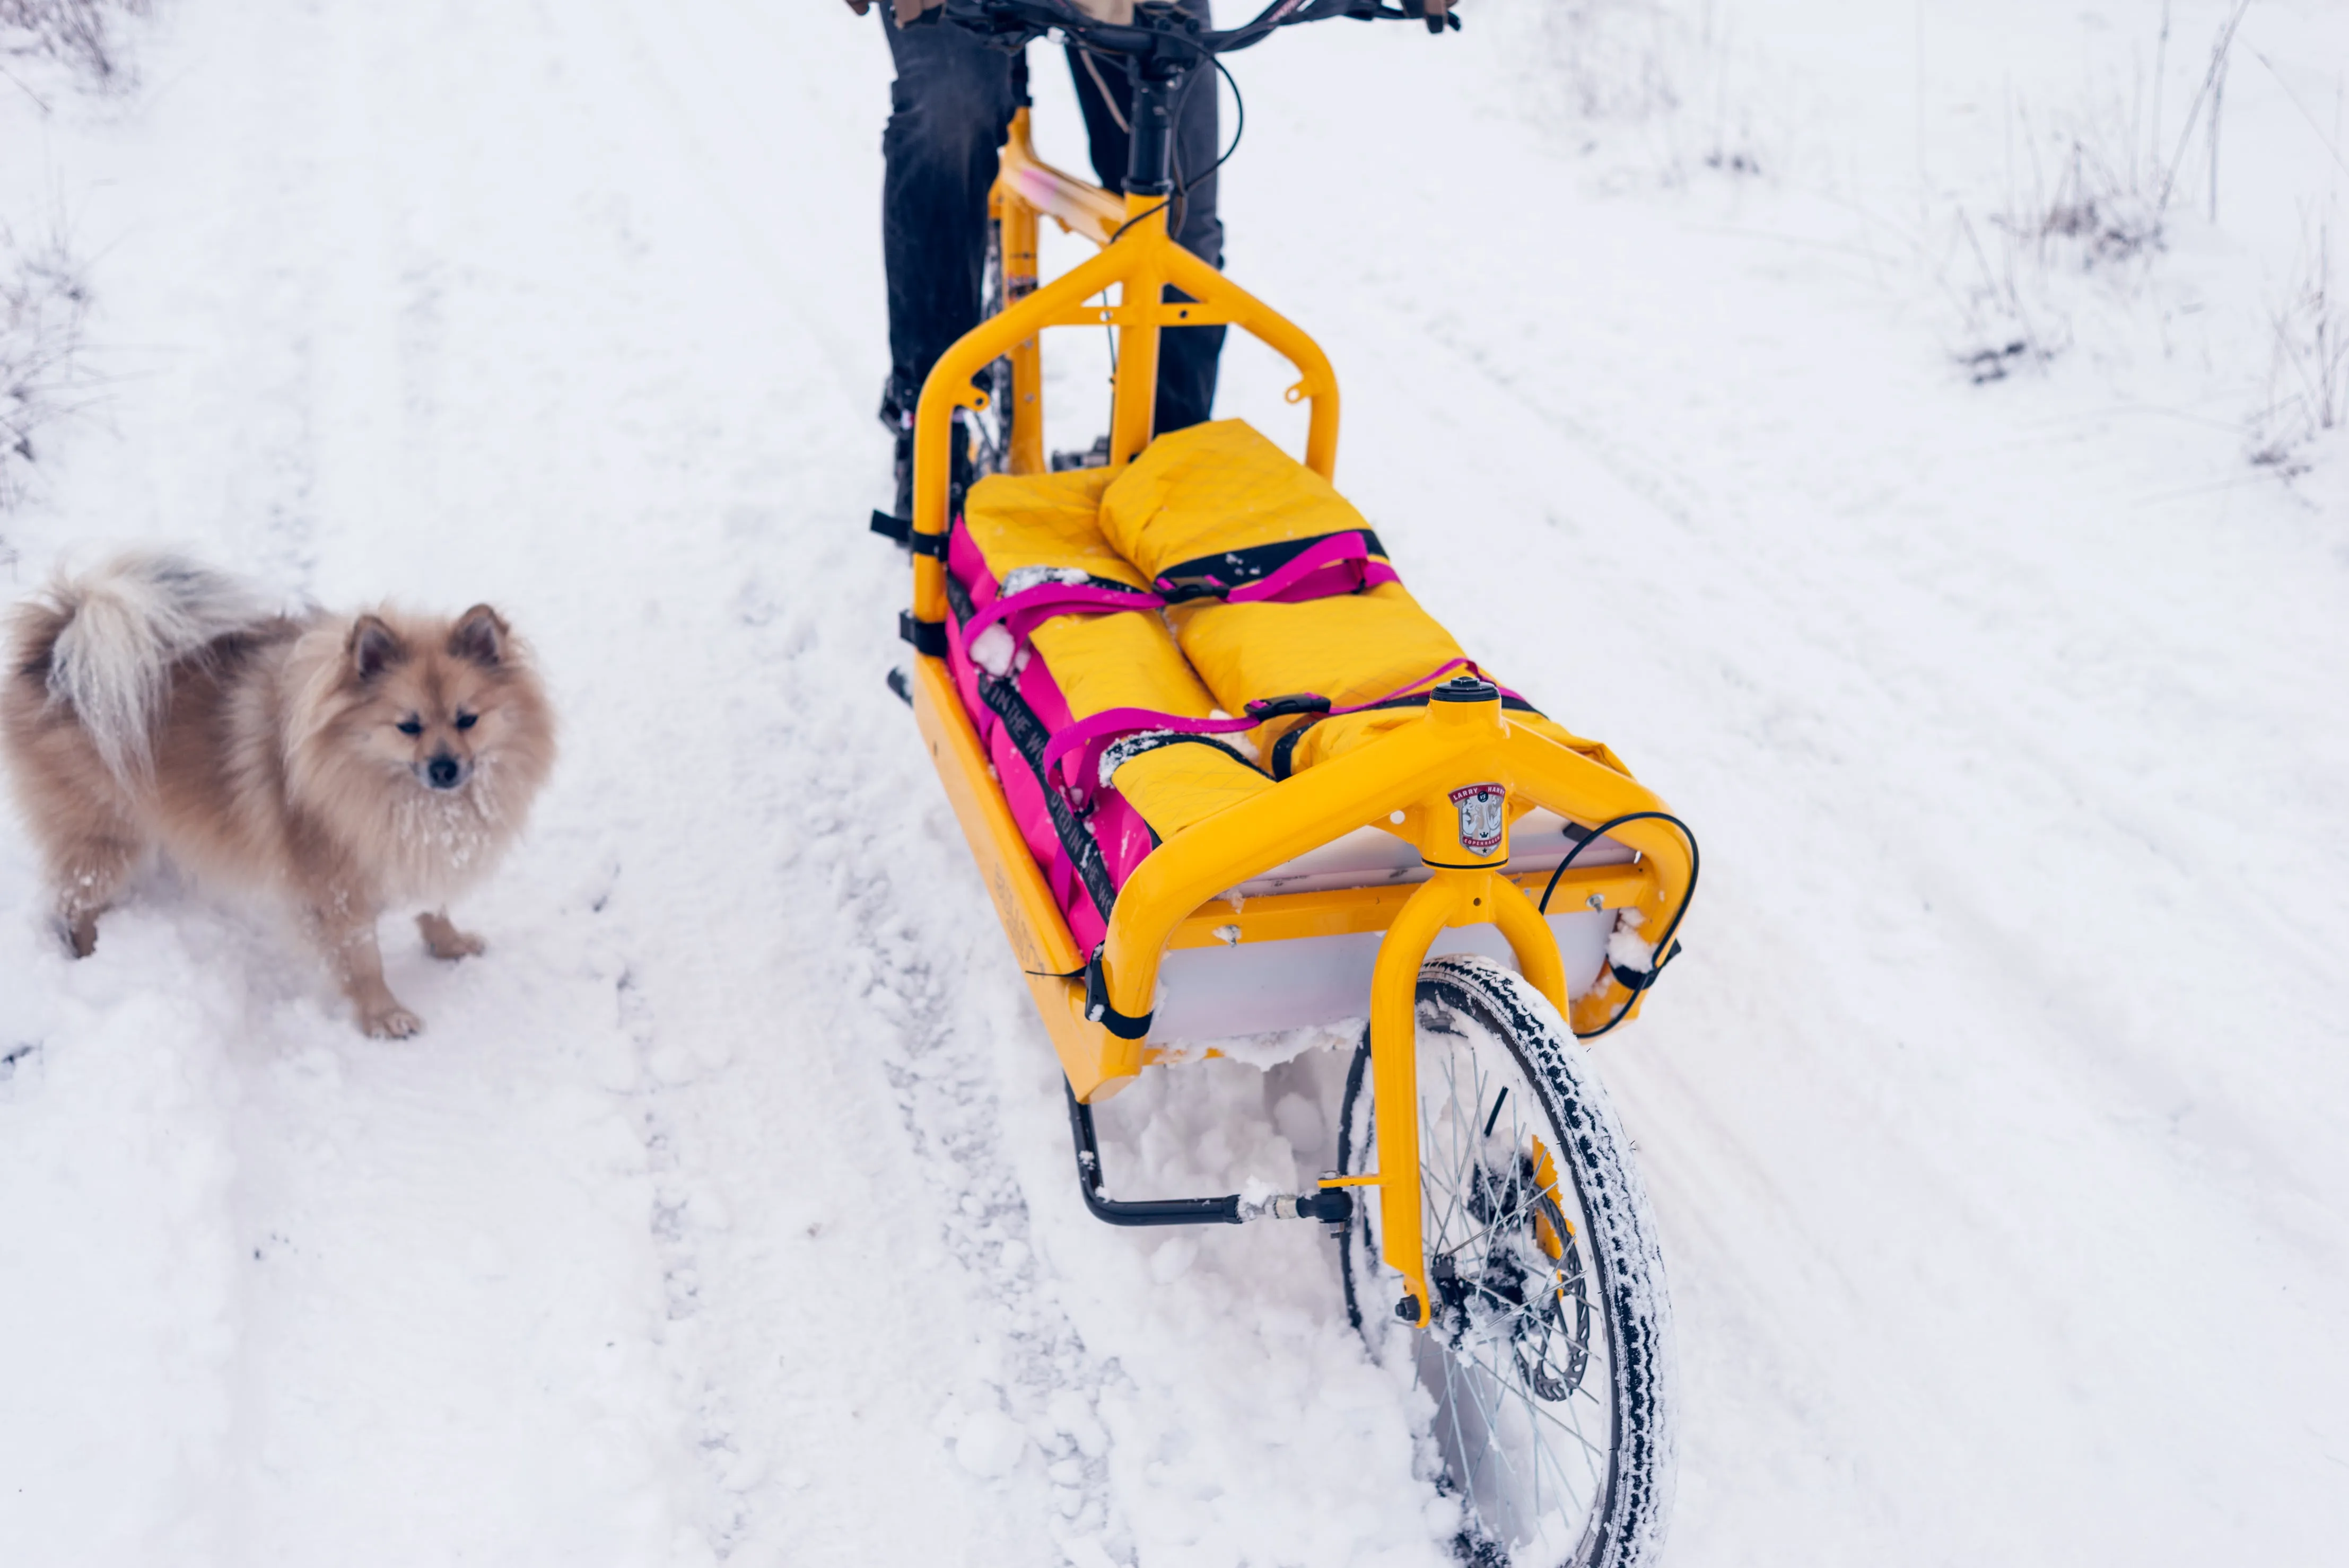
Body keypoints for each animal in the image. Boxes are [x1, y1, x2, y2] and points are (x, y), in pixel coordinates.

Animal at [0, 556, 554, 1032]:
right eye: (408, 726)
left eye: (467, 719)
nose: (445, 767)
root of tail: (59, 647)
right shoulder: (335, 892)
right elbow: (363, 960)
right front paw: (383, 1016)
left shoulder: (415, 849)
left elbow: (432, 906)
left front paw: (450, 945)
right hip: (106, 836)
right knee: (75, 902)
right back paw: (88, 952)